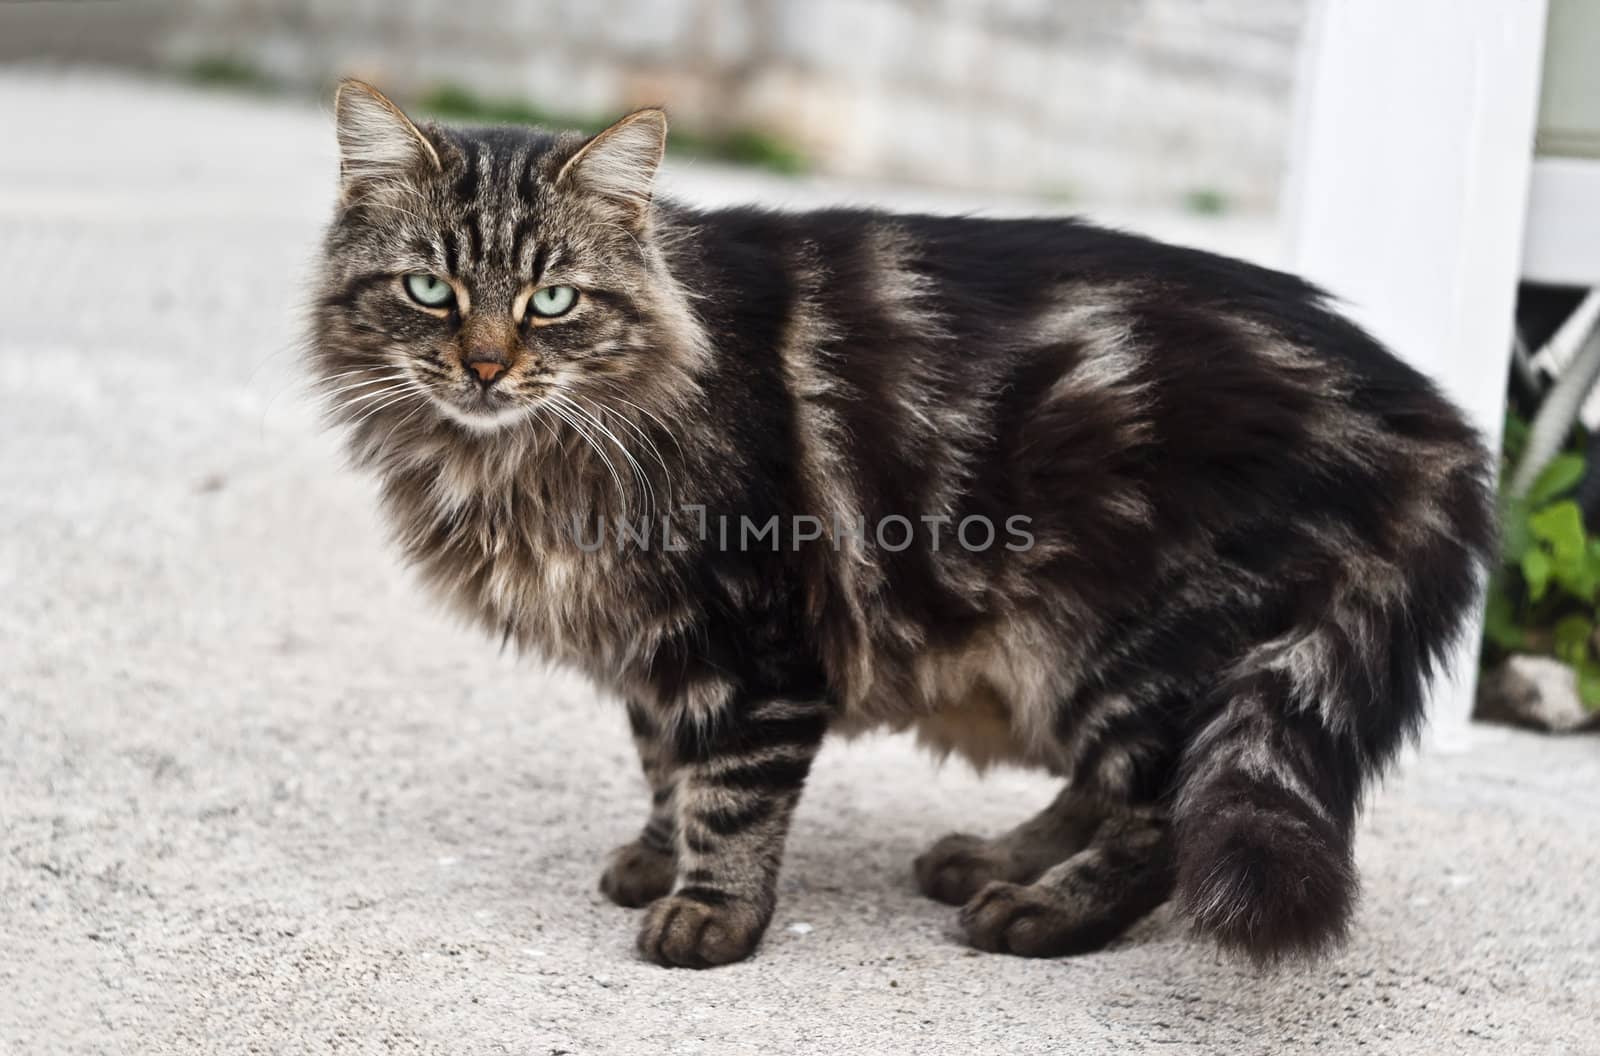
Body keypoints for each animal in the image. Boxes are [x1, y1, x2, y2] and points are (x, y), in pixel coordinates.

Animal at [312, 82, 1497, 966]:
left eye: (551, 300)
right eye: (429, 290)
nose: (484, 366)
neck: (523, 456)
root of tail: (1432, 418)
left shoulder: (751, 639)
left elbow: (729, 793)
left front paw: (711, 914)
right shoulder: (655, 647)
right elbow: (665, 765)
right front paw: (656, 858)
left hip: (1133, 639)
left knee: (1165, 809)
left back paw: (1039, 912)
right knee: (1114, 787)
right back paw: (996, 860)